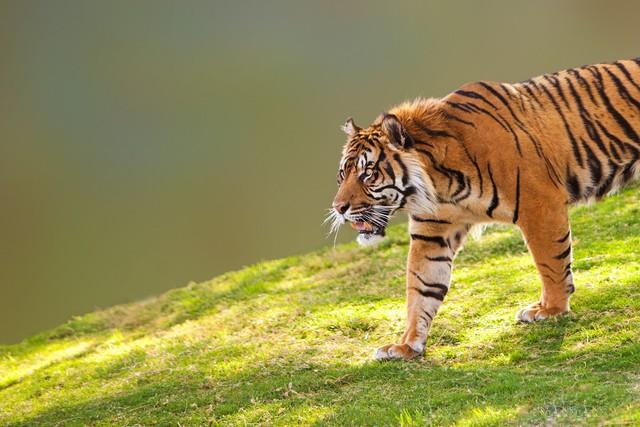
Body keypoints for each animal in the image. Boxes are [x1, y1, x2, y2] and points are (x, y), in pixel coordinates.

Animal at [330, 58, 640, 362]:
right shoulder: (432, 234)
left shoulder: (540, 205)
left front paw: (551, 309)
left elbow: (550, 262)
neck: (438, 184)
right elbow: (421, 288)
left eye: (367, 174)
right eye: (342, 174)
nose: (338, 207)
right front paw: (406, 345)